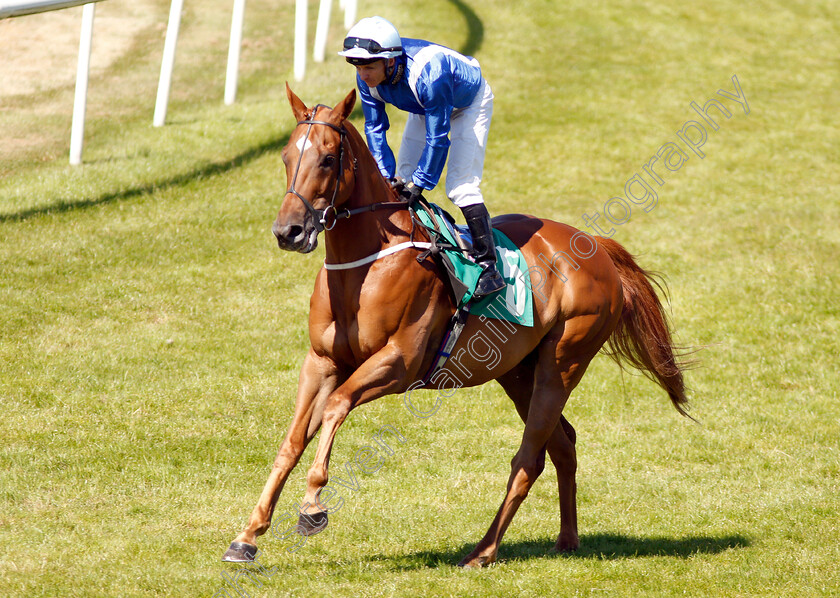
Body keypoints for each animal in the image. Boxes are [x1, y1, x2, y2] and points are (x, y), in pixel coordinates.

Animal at [221, 86, 688, 568]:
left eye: (329, 159)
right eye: (285, 155)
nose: (289, 231)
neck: (366, 266)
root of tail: (598, 247)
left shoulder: (399, 363)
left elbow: (336, 406)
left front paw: (313, 504)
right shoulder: (322, 362)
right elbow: (292, 441)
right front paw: (247, 536)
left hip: (563, 363)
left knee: (528, 459)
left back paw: (483, 551)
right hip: (517, 371)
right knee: (561, 445)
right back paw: (566, 539)